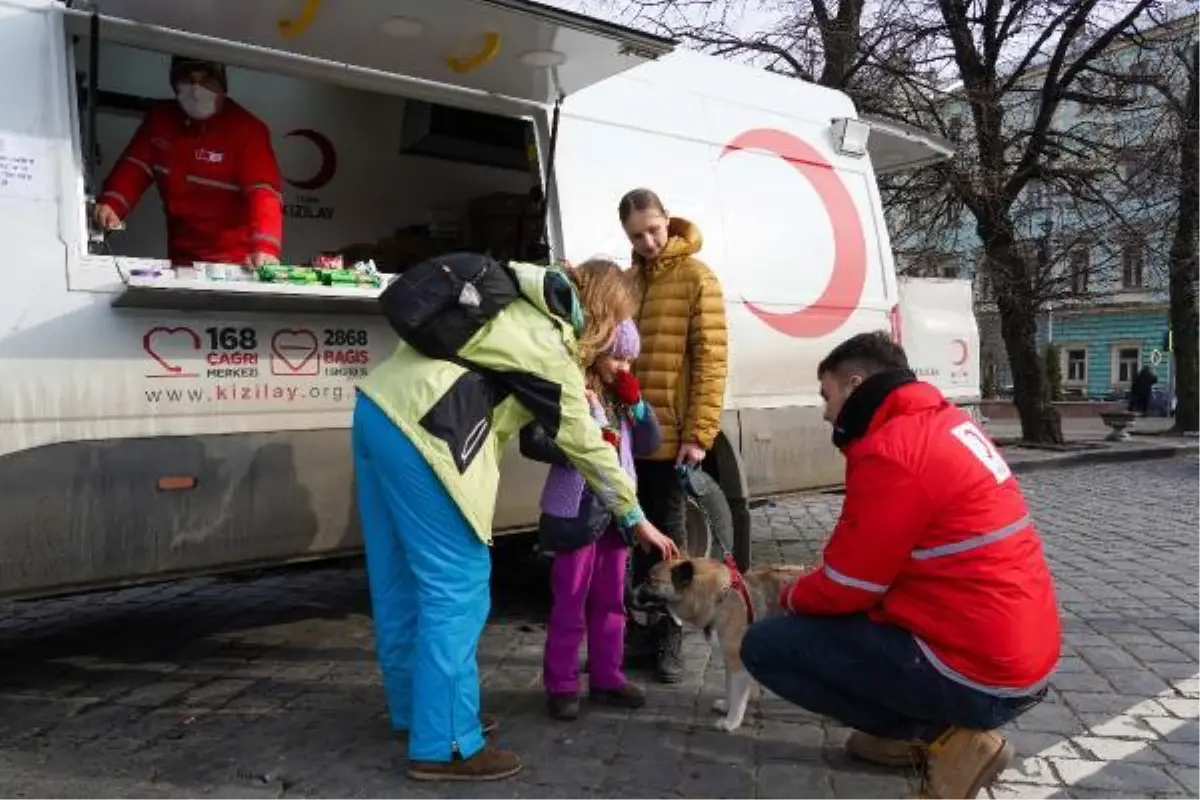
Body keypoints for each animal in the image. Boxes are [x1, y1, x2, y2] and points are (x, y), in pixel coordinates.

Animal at [633, 561, 811, 729]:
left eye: (650, 581)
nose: (631, 592)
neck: (720, 599)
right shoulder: (729, 661)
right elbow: (729, 687)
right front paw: (727, 706)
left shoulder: (737, 663)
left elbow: (737, 696)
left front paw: (731, 721)